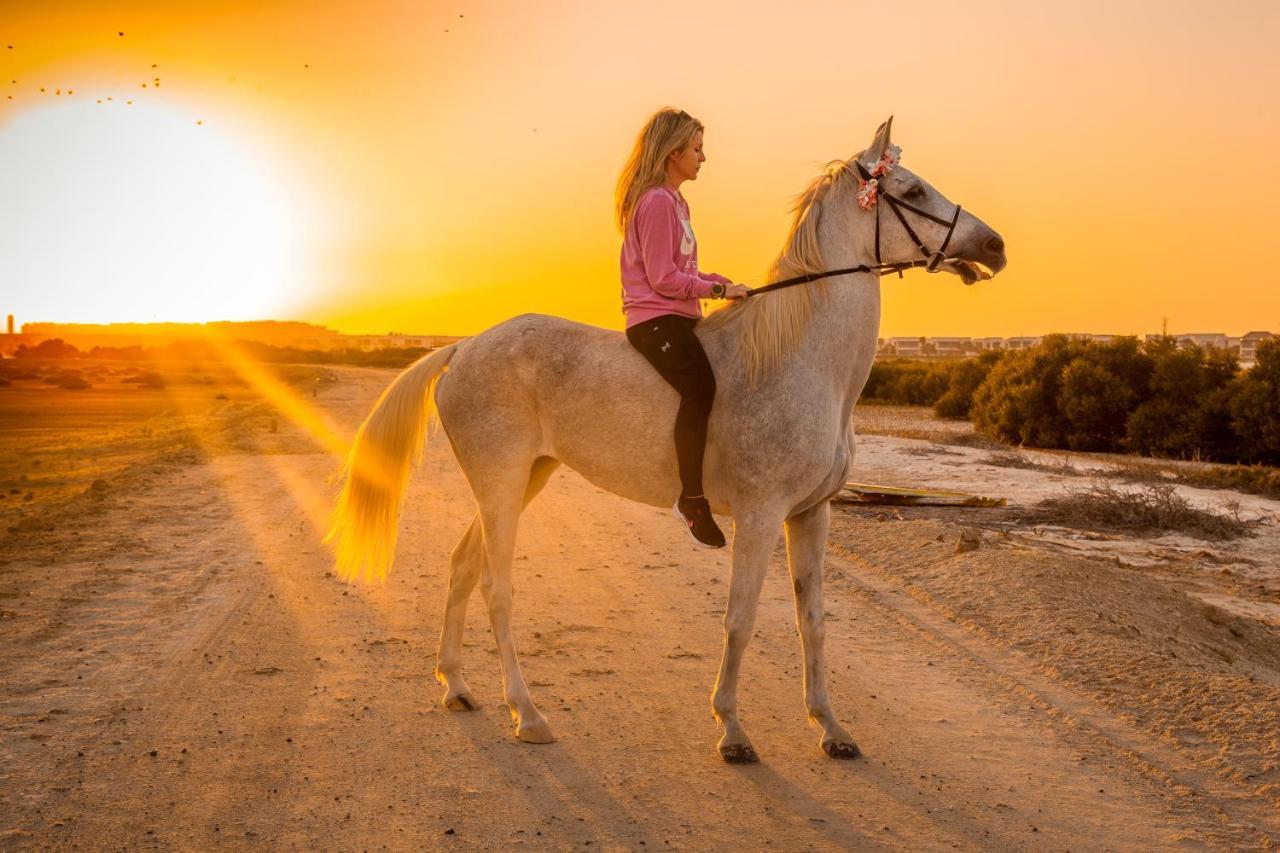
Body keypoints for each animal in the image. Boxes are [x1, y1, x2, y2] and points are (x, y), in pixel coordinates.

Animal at [325, 116, 1003, 758]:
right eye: (910, 190)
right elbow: (741, 618)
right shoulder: (760, 516)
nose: (994, 245)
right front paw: (732, 731)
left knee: (464, 566)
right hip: (501, 485)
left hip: (524, 480)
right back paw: (527, 714)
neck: (802, 362)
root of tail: (463, 348)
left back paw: (457, 688)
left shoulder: (812, 514)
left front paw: (831, 728)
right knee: (496, 586)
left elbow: (812, 618)